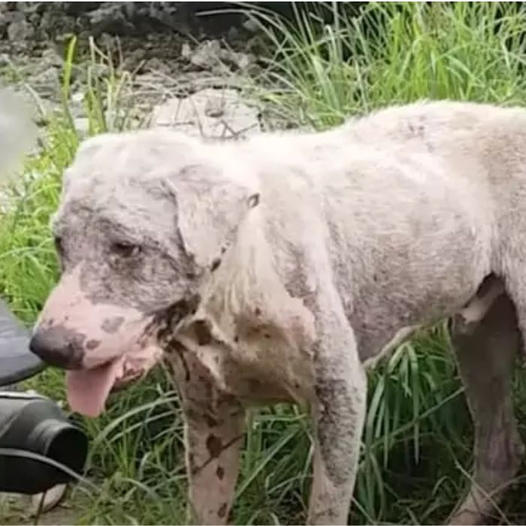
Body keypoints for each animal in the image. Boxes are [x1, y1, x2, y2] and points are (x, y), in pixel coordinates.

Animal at [29, 101, 526, 524]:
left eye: (126, 247)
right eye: (60, 242)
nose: (47, 347)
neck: (244, 271)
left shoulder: (340, 398)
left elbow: (324, 510)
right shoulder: (209, 416)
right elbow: (206, 510)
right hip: (476, 338)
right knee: (500, 453)